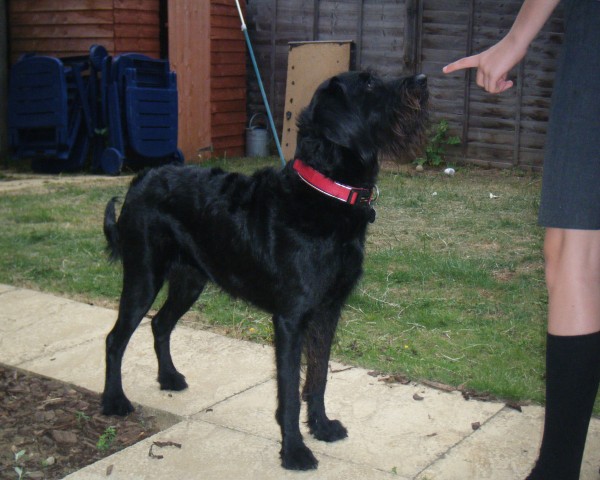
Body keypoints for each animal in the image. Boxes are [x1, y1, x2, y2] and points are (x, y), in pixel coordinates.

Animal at [102, 71, 426, 468]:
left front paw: (321, 427)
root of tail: (140, 180)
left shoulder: (328, 311)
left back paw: (169, 378)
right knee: (116, 338)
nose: (423, 80)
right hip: (144, 276)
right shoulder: (290, 318)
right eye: (368, 84)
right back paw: (114, 401)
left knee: (160, 324)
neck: (325, 192)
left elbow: (318, 376)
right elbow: (289, 390)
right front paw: (295, 451)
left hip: (190, 279)